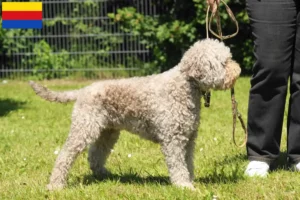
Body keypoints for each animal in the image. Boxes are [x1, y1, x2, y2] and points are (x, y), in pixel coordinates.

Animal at [29, 38, 241, 191]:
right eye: (224, 62)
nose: (239, 70)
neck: (184, 86)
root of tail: (83, 90)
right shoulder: (173, 139)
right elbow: (178, 164)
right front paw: (184, 186)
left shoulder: (188, 138)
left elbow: (188, 162)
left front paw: (190, 180)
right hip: (84, 127)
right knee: (65, 154)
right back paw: (56, 185)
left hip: (108, 131)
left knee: (96, 154)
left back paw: (104, 174)